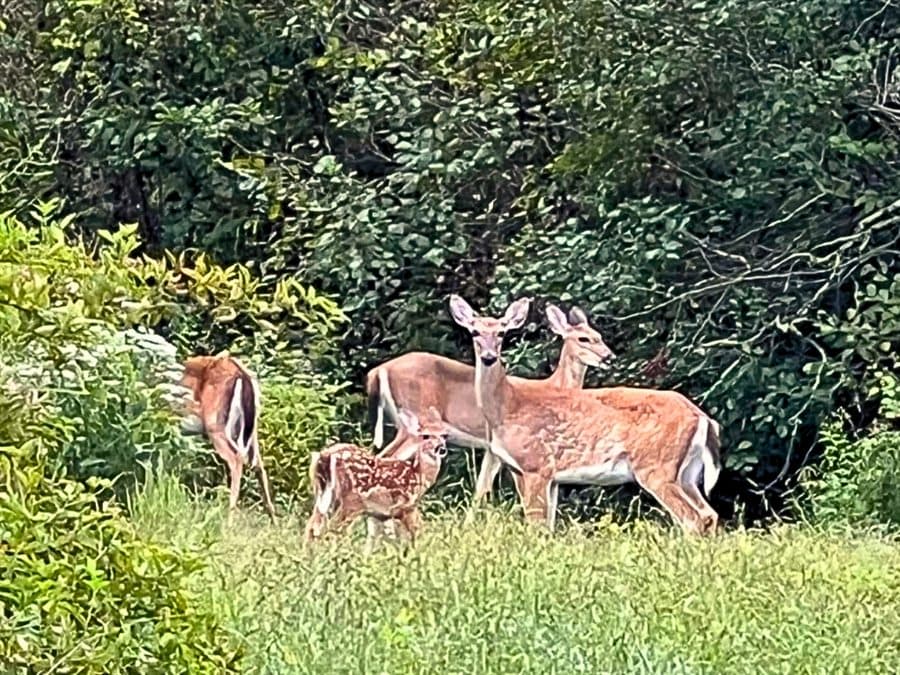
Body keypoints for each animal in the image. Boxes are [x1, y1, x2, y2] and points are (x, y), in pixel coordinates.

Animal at [180, 353, 276, 521]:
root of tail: (242, 374)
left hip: (215, 424)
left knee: (236, 458)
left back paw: (229, 519)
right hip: (252, 427)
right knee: (258, 464)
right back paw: (274, 520)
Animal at [304, 407, 449, 544]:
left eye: (445, 435)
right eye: (425, 436)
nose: (441, 448)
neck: (418, 474)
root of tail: (326, 456)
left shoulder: (379, 514)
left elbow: (373, 539)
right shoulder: (406, 507)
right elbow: (415, 533)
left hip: (322, 494)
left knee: (313, 527)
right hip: (351, 500)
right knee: (333, 529)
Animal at [365, 303, 615, 508]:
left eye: (599, 336)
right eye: (583, 339)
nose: (609, 357)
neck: (555, 385)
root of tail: (379, 370)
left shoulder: (493, 451)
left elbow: (481, 489)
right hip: (414, 424)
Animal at [447, 294, 722, 535]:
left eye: (502, 333)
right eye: (474, 332)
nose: (489, 357)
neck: (507, 406)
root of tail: (702, 417)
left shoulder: (536, 465)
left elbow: (536, 526)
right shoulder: (539, 474)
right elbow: (547, 525)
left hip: (656, 467)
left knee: (692, 518)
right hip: (687, 473)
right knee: (709, 514)